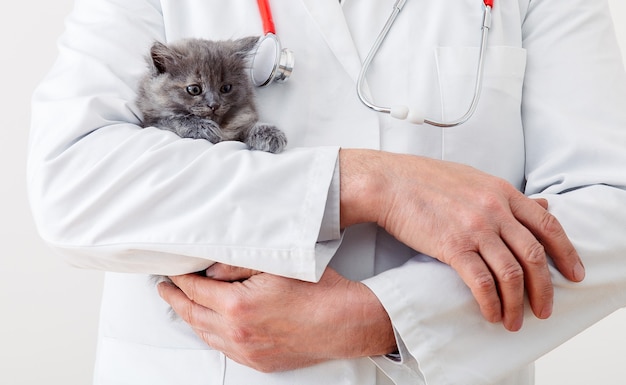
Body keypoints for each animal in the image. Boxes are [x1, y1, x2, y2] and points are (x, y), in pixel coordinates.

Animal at [136, 37, 286, 153]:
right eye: (194, 89)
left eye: (226, 88)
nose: (214, 105)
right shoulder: (152, 123)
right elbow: (175, 118)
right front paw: (204, 127)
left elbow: (245, 126)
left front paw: (270, 133)